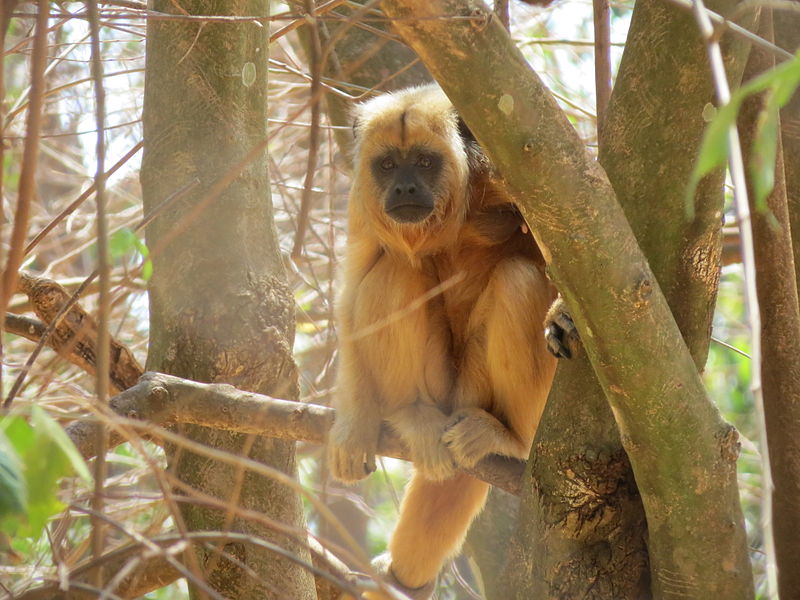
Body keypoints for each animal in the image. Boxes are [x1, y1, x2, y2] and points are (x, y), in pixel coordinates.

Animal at [328, 85, 560, 600]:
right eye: (388, 165)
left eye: (425, 161)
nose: (404, 189)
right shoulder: (362, 203)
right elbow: (353, 289)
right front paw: (353, 423)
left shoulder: (516, 173)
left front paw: (566, 315)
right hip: (444, 390)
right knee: (393, 271)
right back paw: (411, 414)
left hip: (480, 389)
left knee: (519, 280)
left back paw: (512, 439)